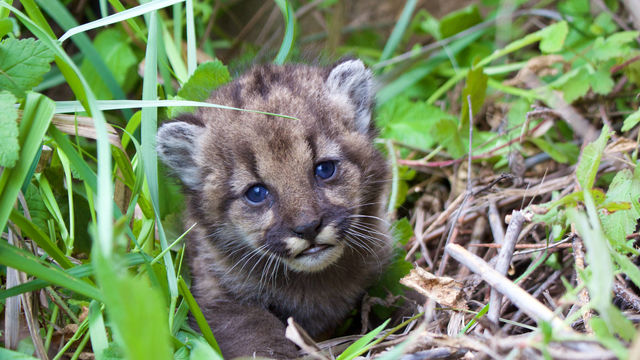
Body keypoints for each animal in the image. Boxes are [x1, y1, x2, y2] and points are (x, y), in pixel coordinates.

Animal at [158, 58, 392, 358]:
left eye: (325, 169)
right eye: (256, 193)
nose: (308, 228)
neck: (311, 283)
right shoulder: (213, 300)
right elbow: (256, 332)